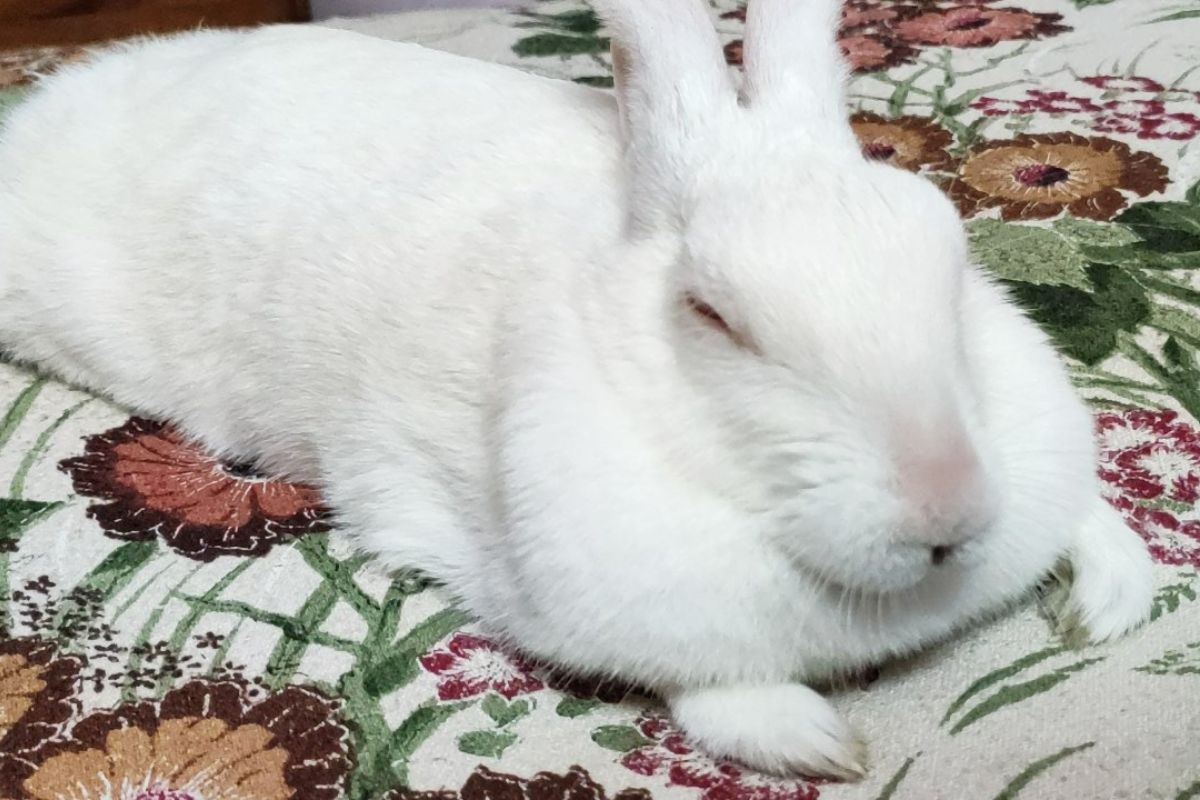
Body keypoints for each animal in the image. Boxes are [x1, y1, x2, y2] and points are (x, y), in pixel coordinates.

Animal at [0, 0, 1154, 780]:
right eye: (712, 315)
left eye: (950, 259)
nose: (948, 510)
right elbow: (711, 685)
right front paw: (818, 743)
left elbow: (1091, 518)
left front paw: (1111, 602)